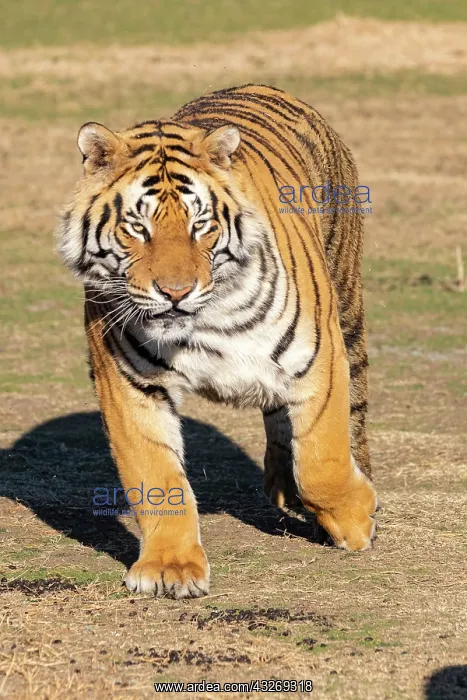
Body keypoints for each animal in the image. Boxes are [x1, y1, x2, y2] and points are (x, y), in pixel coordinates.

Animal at [58, 84, 378, 599]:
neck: (202, 322)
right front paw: (169, 568)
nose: (175, 292)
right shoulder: (128, 382)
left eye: (200, 225)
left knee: (354, 416)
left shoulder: (319, 355)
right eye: (138, 227)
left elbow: (322, 459)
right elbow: (156, 475)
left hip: (347, 307)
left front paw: (355, 518)